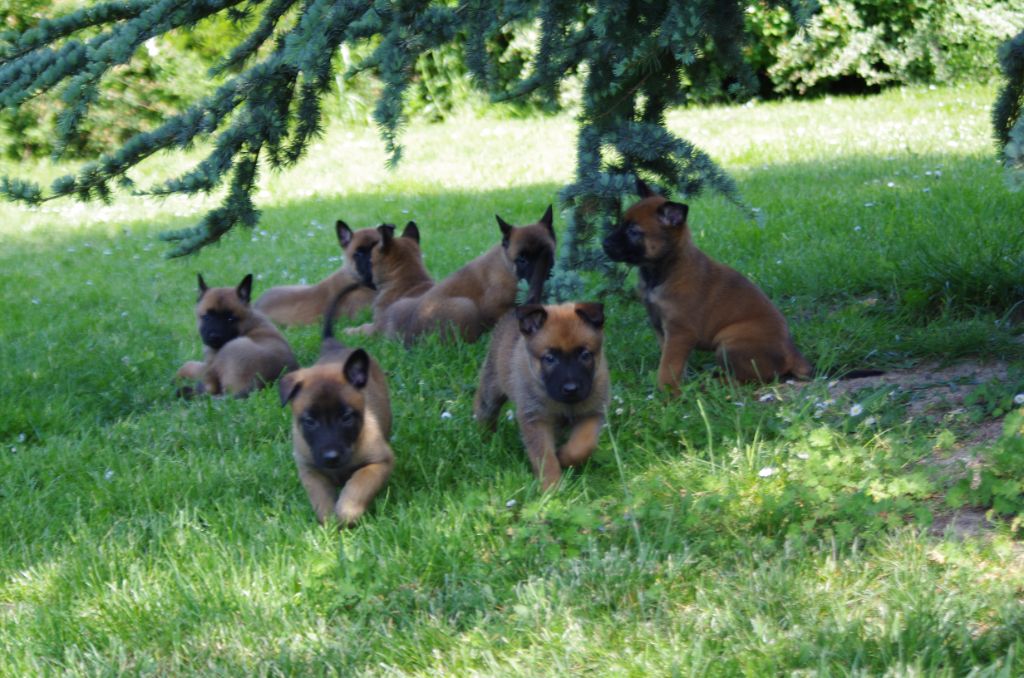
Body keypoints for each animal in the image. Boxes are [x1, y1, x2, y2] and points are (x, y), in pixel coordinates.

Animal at [278, 288, 393, 528]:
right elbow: (320, 496)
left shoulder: (379, 462)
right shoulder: (310, 469)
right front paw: (329, 521)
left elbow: (359, 484)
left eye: (347, 417)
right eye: (310, 421)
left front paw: (347, 513)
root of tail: (334, 346)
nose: (331, 457)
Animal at [477, 305, 610, 491]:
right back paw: (486, 438)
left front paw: (564, 457)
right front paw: (551, 486)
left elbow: (582, 446)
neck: (566, 404)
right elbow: (544, 457)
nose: (571, 389)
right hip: (492, 386)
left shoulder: (593, 412)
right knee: (483, 408)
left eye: (585, 355)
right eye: (549, 358)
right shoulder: (535, 418)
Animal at [602, 180, 811, 393]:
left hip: (729, 342)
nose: (604, 243)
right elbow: (671, 362)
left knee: (749, 379)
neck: (663, 270)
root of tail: (792, 354)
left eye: (633, 231)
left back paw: (714, 383)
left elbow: (668, 366)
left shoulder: (680, 332)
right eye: (621, 224)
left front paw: (668, 391)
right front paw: (680, 382)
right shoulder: (661, 328)